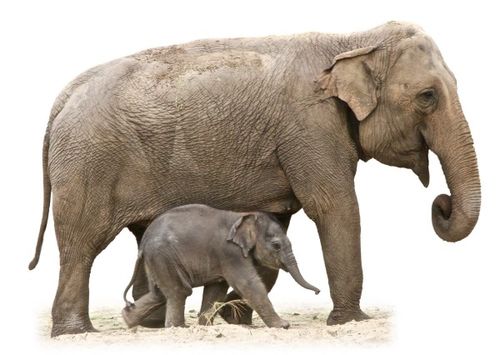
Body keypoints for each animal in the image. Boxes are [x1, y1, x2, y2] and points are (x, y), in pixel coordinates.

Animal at [122, 204, 318, 330]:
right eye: (276, 245)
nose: (318, 292)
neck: (243, 216)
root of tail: (143, 243)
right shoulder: (230, 253)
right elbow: (248, 283)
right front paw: (283, 326)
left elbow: (216, 288)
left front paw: (205, 326)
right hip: (163, 256)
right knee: (179, 291)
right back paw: (178, 328)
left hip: (157, 259)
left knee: (160, 294)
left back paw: (128, 320)